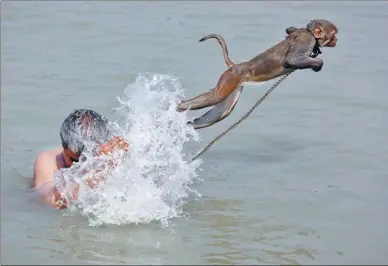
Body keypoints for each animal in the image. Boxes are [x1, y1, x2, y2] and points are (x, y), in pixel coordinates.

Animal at [177, 18, 338, 129]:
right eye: (334, 34)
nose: (336, 39)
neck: (310, 34)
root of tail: (235, 66)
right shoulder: (307, 40)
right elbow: (291, 60)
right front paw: (317, 63)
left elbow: (290, 29)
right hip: (230, 77)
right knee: (216, 96)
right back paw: (180, 106)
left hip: (234, 84)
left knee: (220, 113)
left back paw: (189, 124)